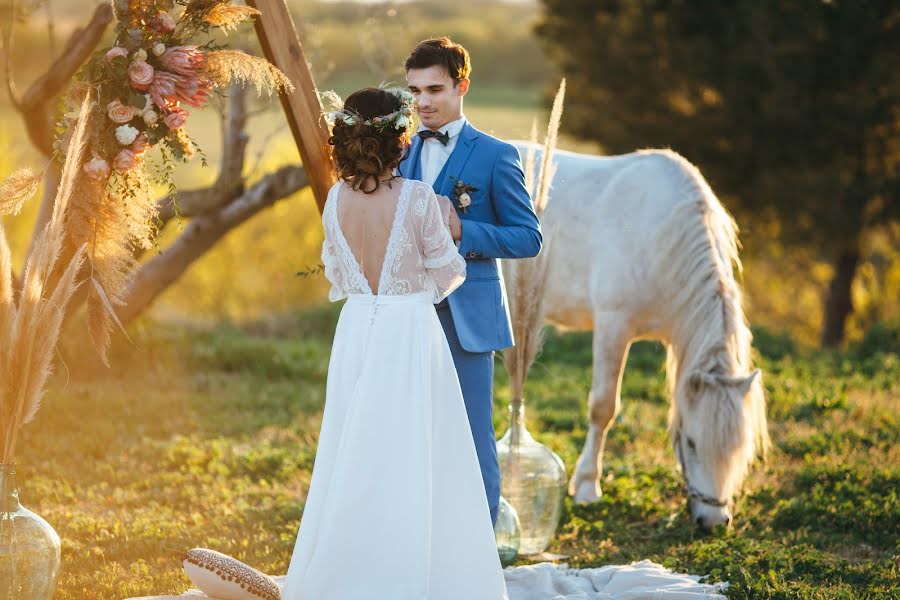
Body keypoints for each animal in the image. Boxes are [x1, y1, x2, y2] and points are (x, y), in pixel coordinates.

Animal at [510, 145, 768, 528]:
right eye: (692, 443)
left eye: (740, 449)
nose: (714, 522)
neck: (661, 237)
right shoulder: (613, 326)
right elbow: (603, 407)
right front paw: (587, 486)